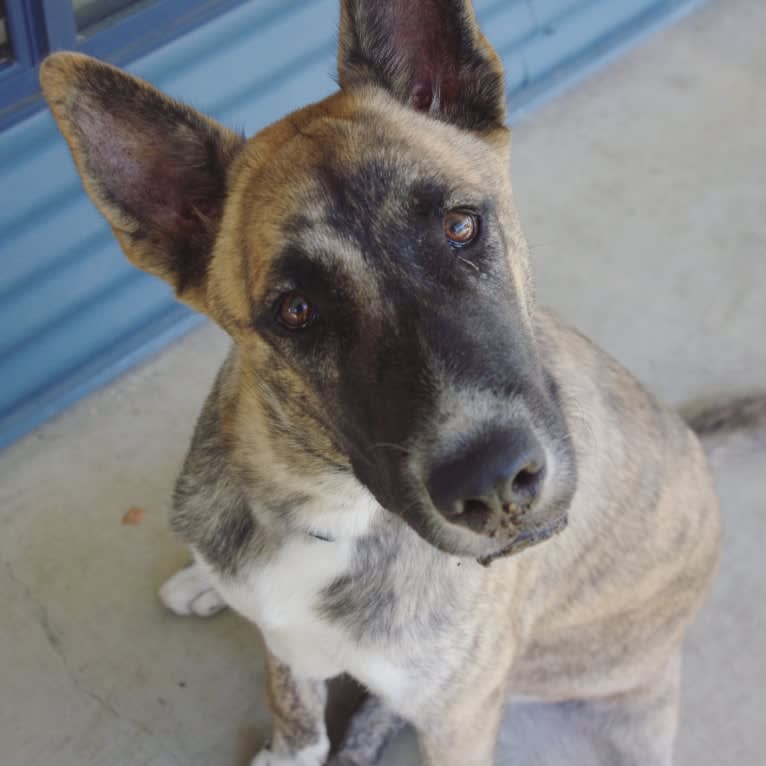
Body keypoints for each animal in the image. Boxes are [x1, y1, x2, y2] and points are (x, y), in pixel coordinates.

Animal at [39, 3, 764, 764]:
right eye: (295, 310)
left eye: (461, 225)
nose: (495, 485)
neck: (325, 511)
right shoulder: (289, 650)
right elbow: (294, 715)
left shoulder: (461, 715)